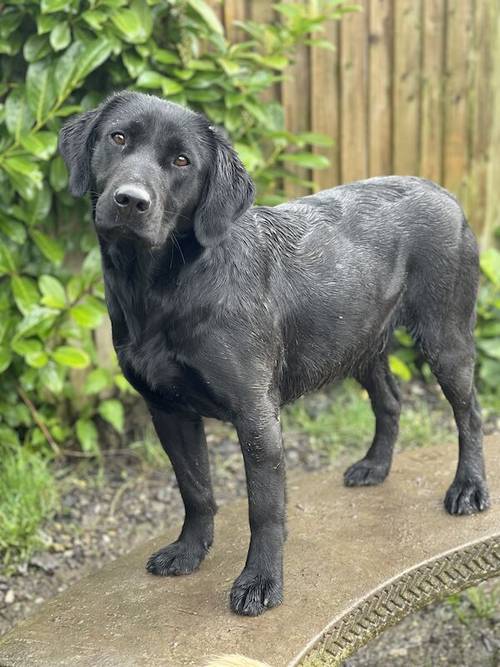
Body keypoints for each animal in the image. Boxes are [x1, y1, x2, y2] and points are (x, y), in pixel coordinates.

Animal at [58, 91, 488, 620]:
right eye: (118, 137)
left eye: (182, 161)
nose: (131, 201)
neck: (164, 288)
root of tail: (442, 191)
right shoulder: (169, 412)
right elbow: (195, 489)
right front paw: (189, 551)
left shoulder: (256, 416)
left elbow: (263, 508)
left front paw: (261, 581)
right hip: (360, 344)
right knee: (390, 401)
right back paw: (375, 466)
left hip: (445, 340)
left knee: (470, 414)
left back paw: (469, 488)